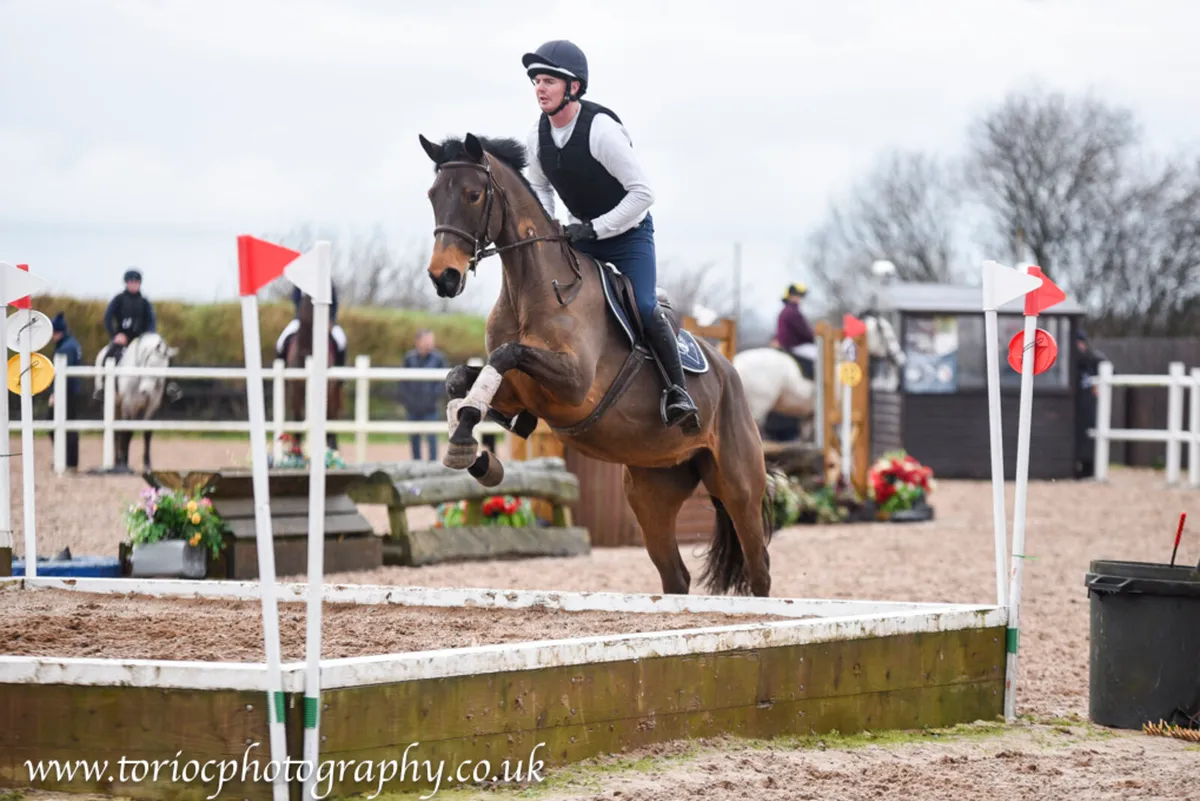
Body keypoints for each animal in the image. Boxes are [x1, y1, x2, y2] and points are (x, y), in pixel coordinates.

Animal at [92, 333, 178, 473]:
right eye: (148, 362)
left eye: (166, 367)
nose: (146, 392)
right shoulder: (128, 406)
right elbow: (127, 432)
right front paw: (124, 463)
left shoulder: (152, 407)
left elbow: (147, 433)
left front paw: (147, 465)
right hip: (111, 406)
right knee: (117, 433)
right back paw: (117, 461)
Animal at [283, 292, 343, 458]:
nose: (329, 328)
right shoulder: (295, 390)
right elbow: (298, 418)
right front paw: (295, 450)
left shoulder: (327, 388)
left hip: (334, 391)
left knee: (332, 414)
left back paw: (332, 447)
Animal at [418, 132, 773, 598]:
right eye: (432, 195)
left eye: (473, 194)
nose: (443, 277)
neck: (533, 289)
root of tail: (729, 371)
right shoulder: (516, 394)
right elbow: (460, 379)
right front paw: (475, 454)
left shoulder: (572, 385)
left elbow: (504, 354)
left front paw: (465, 442)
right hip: (651, 490)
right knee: (675, 575)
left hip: (738, 485)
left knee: (758, 569)